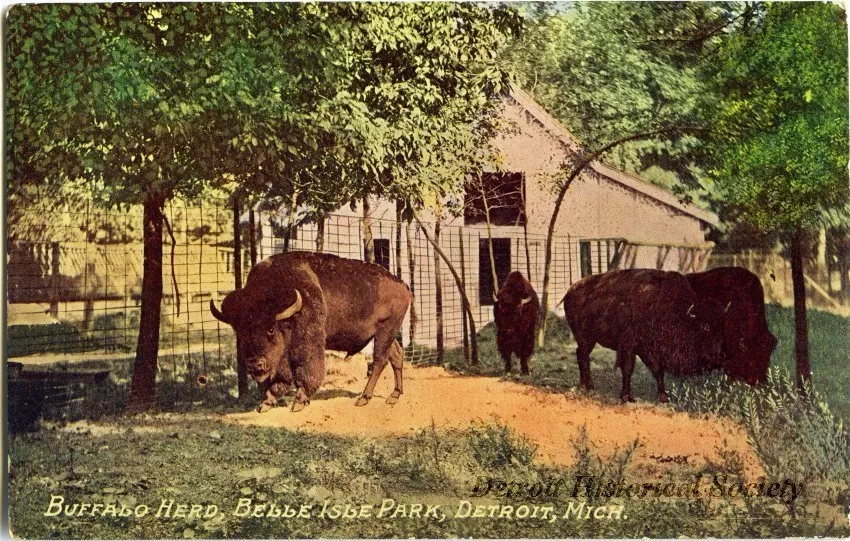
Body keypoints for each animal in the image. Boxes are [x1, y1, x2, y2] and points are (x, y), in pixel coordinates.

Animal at [210, 252, 412, 412]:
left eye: (270, 330)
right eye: (241, 332)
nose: (254, 364)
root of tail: (403, 285)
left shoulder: (308, 344)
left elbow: (306, 370)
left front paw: (299, 402)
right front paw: (266, 403)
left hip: (385, 330)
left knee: (380, 360)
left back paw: (364, 398)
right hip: (386, 333)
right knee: (396, 355)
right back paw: (394, 395)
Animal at [563, 269, 725, 403]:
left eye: (720, 326)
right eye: (705, 326)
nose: (719, 356)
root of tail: (570, 291)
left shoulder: (649, 350)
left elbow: (658, 370)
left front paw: (664, 397)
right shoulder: (629, 348)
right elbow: (628, 369)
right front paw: (627, 397)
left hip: (589, 339)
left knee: (582, 355)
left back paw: (586, 386)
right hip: (586, 338)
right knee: (583, 356)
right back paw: (588, 386)